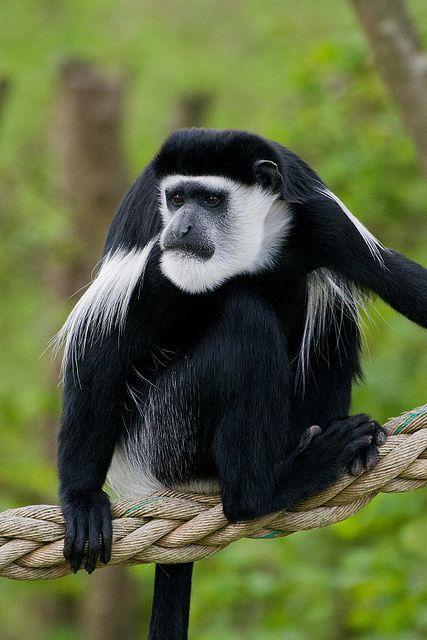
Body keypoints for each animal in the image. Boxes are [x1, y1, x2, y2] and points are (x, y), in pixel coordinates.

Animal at [55, 128, 427, 640]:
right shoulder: (158, 261)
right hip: (167, 430)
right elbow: (100, 353)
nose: (181, 228)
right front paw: (83, 501)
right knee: (244, 320)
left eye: (211, 199)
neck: (251, 251)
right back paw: (269, 487)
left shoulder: (322, 220)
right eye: (177, 199)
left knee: (328, 311)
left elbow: (401, 282)